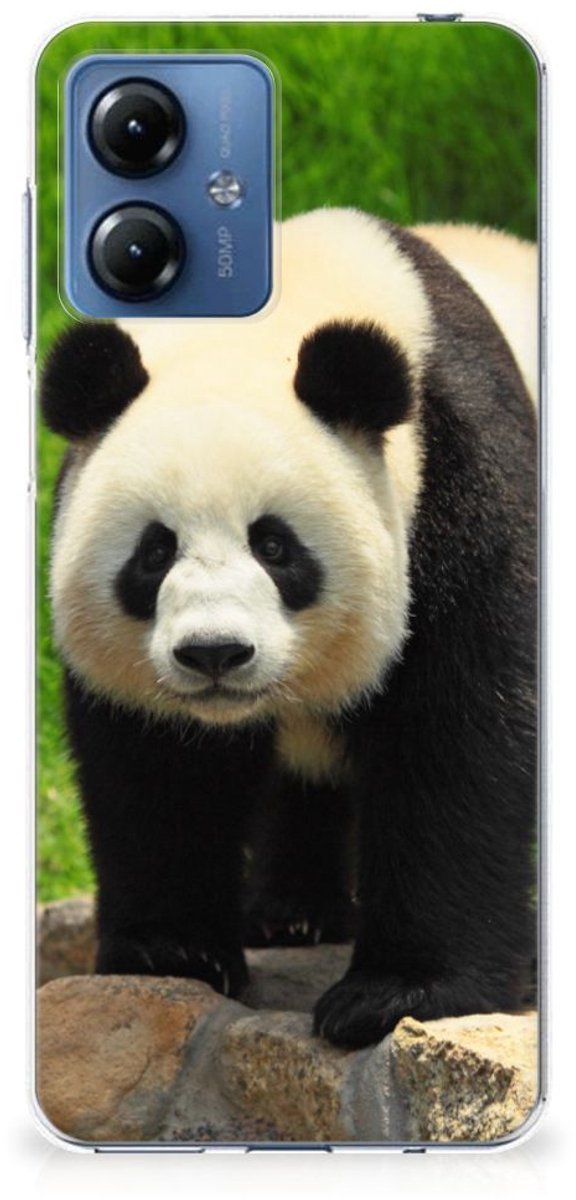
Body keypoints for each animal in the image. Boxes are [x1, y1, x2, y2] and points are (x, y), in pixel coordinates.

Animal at [41, 208, 537, 1049]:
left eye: (274, 546)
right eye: (154, 552)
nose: (214, 653)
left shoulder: (465, 484)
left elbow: (460, 737)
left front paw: (396, 993)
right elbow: (156, 766)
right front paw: (173, 952)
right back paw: (293, 914)